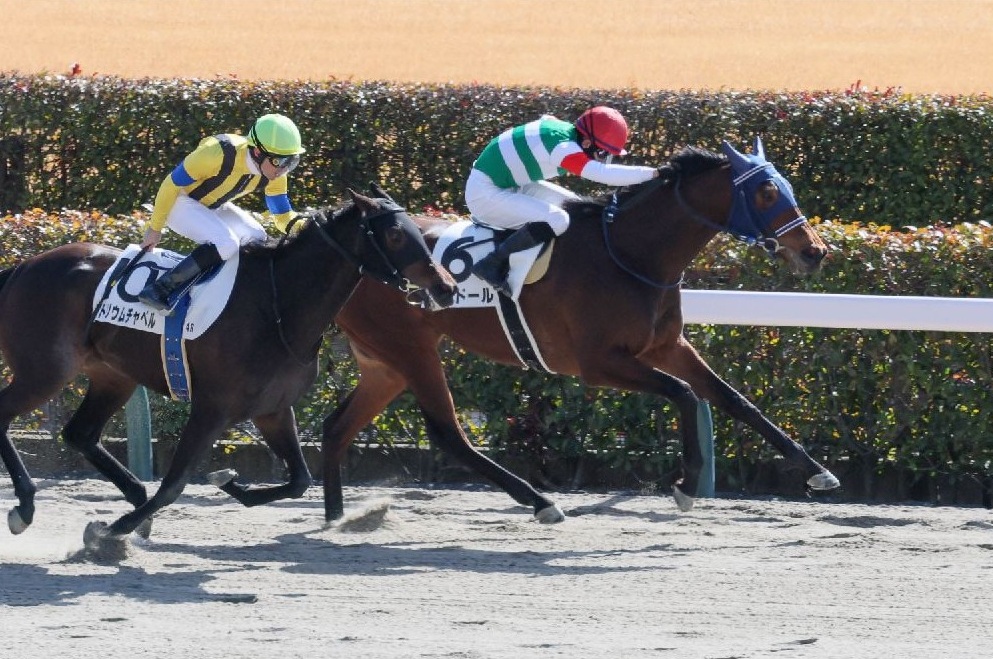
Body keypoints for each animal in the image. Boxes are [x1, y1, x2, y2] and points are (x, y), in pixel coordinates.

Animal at [0, 191, 456, 548]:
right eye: (396, 234)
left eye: (419, 234)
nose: (446, 287)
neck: (278, 306)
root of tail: (23, 266)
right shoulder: (211, 408)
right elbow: (175, 484)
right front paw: (112, 530)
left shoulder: (274, 409)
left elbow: (299, 480)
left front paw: (228, 481)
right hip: (45, 371)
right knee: (11, 417)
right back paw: (27, 507)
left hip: (114, 376)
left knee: (80, 434)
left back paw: (133, 499)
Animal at [321, 138, 840, 523]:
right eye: (766, 192)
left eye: (785, 185)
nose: (814, 251)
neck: (630, 254)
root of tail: (352, 252)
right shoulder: (599, 363)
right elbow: (685, 395)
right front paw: (688, 484)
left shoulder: (668, 346)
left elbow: (735, 400)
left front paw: (817, 472)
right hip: (410, 349)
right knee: (448, 434)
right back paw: (540, 501)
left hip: (384, 362)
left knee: (337, 426)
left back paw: (335, 515)